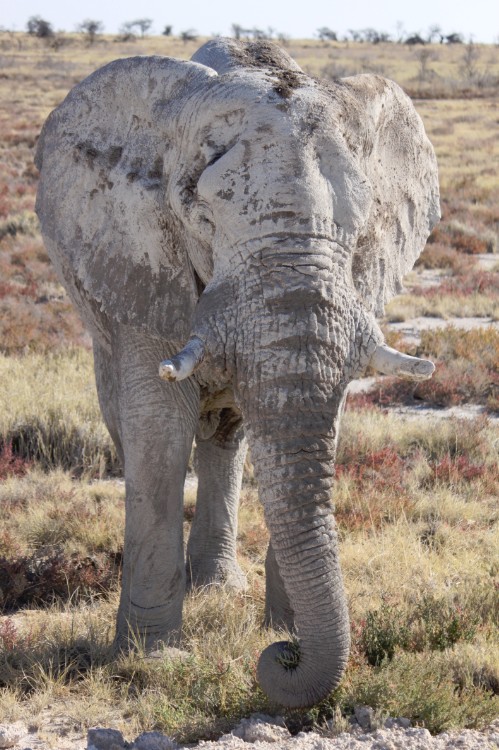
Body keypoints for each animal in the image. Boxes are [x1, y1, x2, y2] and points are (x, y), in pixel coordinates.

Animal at [35, 39, 440, 712]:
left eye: (360, 233)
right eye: (202, 219)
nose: (281, 659)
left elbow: (317, 423)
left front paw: (284, 629)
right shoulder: (142, 262)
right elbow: (158, 426)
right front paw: (155, 659)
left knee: (227, 433)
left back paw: (219, 588)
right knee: (133, 425)